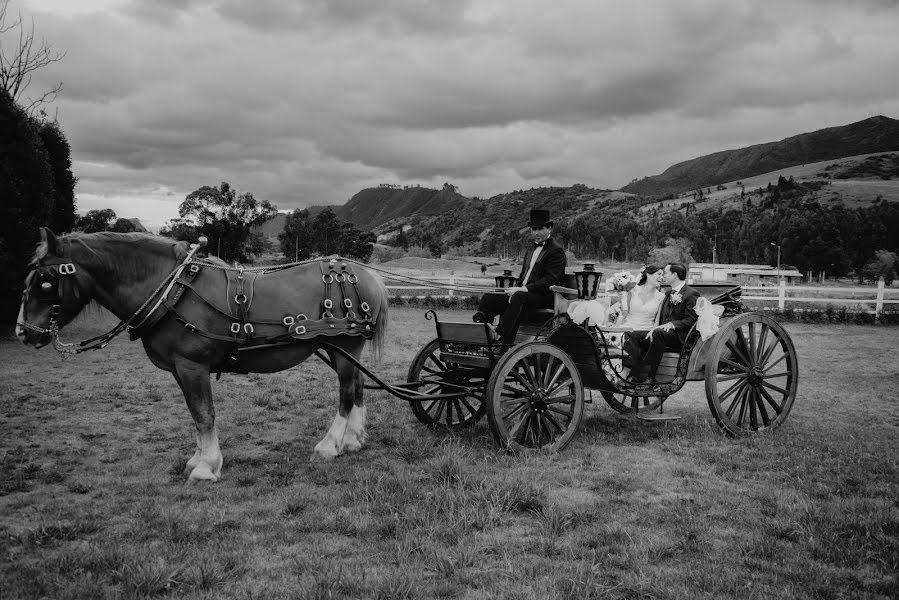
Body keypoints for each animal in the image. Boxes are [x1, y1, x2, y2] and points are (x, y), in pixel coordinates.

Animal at [14, 227, 386, 480]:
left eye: (45, 281)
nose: (22, 331)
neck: (170, 291)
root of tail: (365, 274)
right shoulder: (181, 370)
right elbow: (195, 415)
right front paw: (197, 458)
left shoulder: (192, 365)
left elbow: (204, 413)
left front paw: (207, 466)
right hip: (341, 349)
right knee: (357, 388)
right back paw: (352, 441)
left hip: (344, 347)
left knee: (346, 393)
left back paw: (329, 445)